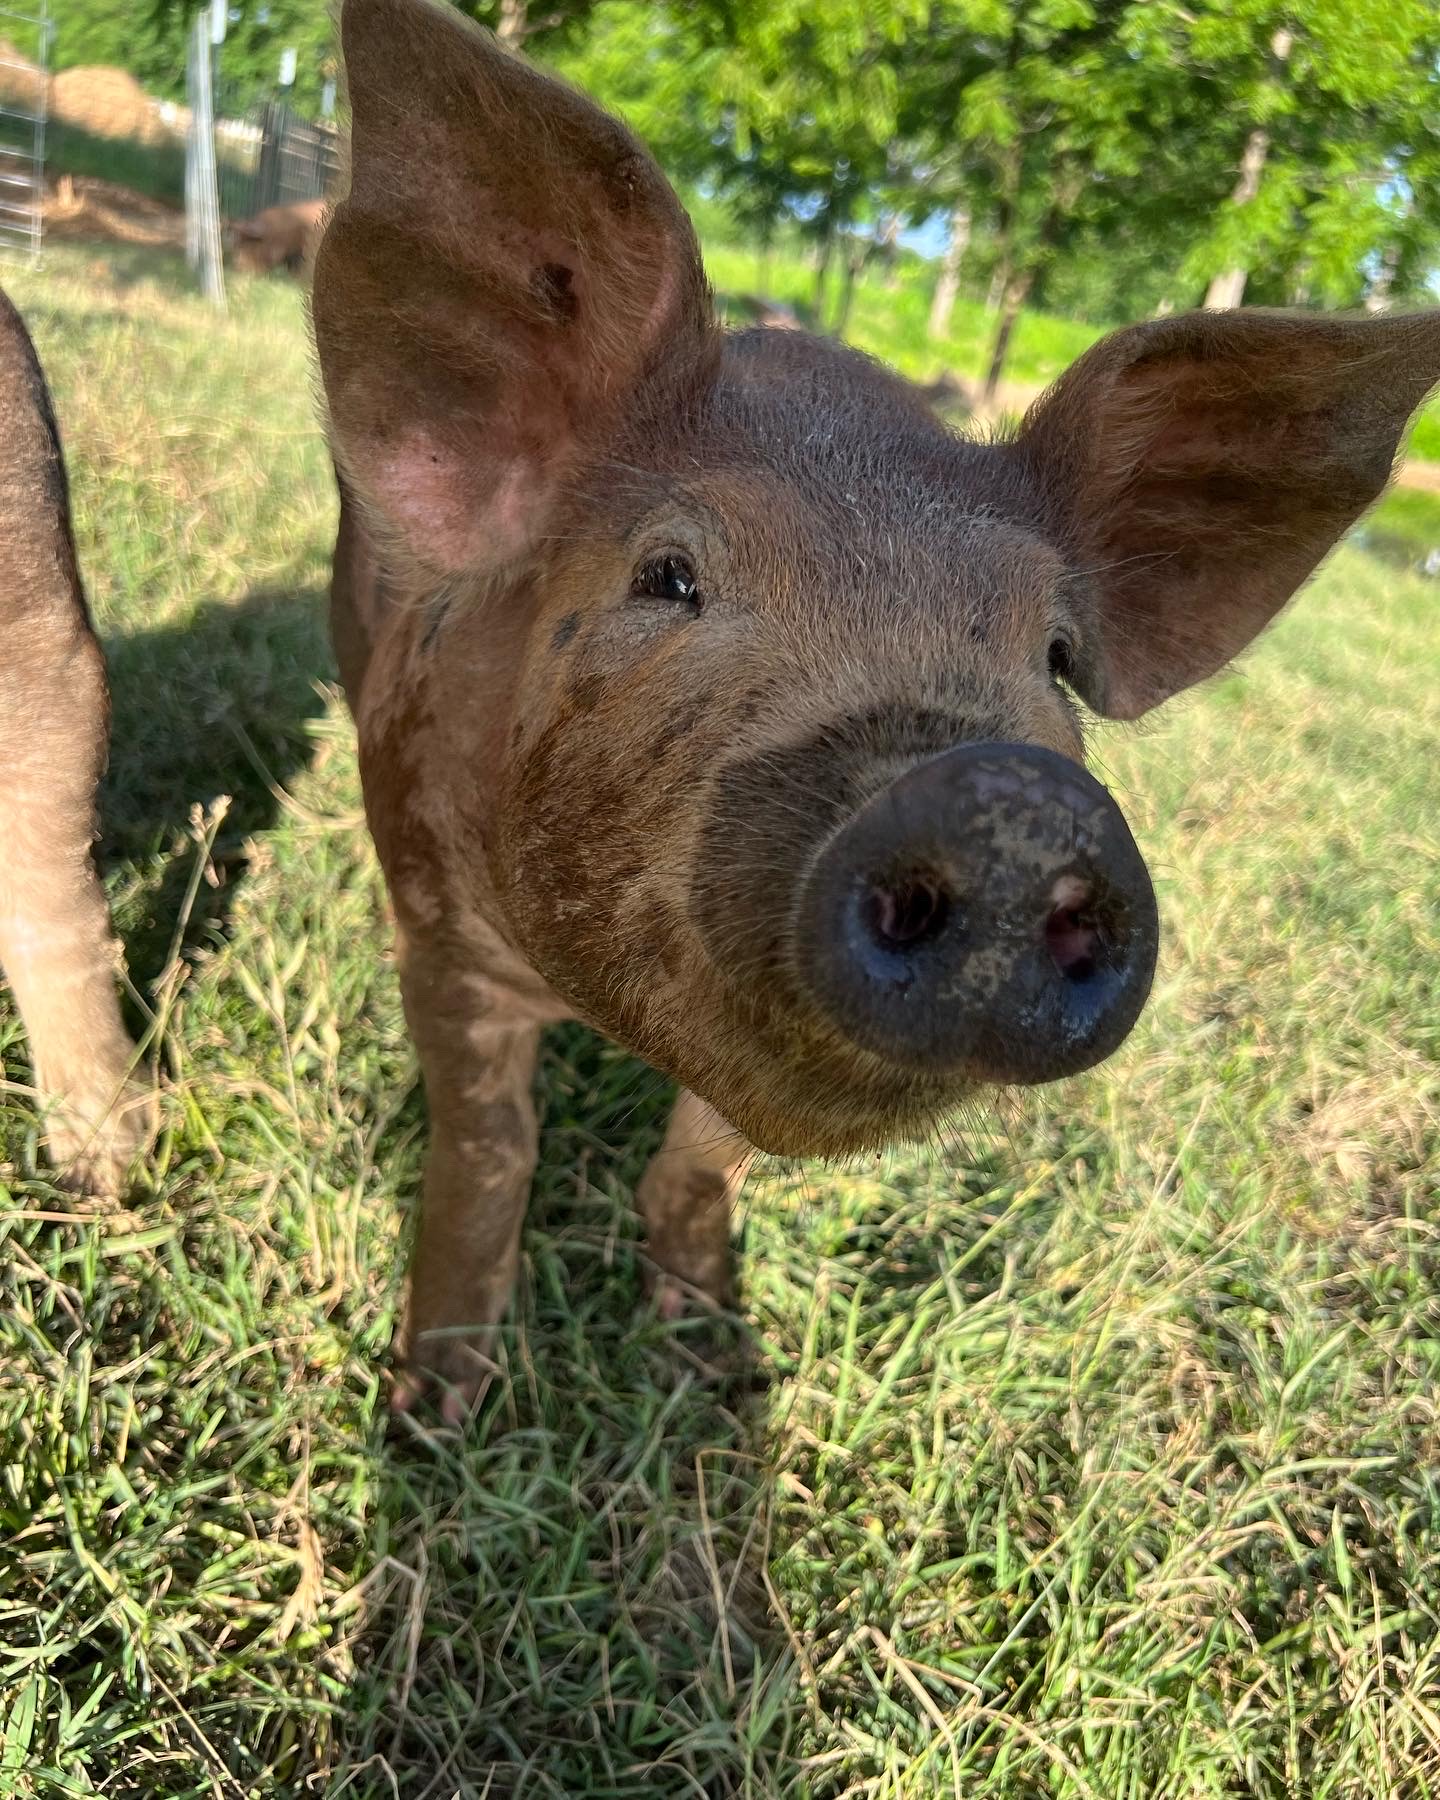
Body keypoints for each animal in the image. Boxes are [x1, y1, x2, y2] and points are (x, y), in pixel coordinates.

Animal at [312, 0, 1440, 1416]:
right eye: (668, 575)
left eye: (1056, 655)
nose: (1012, 801)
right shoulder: (440, 914)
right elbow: (484, 1152)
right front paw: (434, 1415)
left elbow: (701, 1166)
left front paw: (716, 1359)